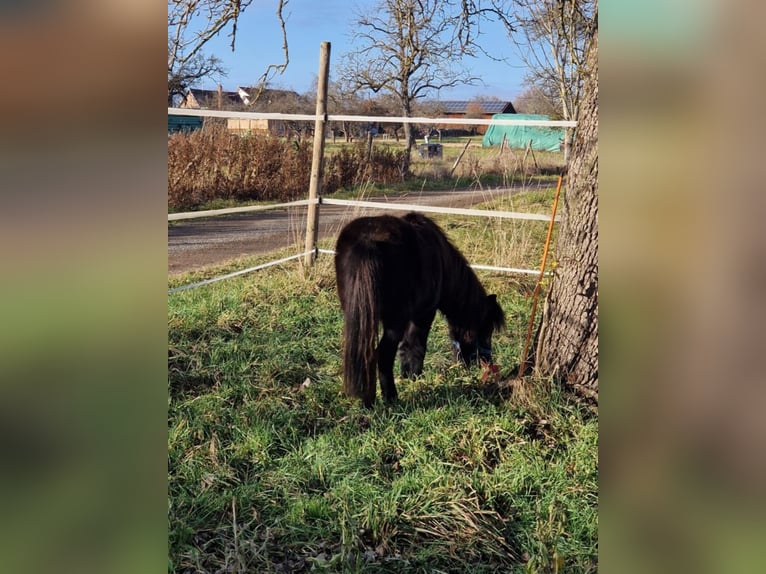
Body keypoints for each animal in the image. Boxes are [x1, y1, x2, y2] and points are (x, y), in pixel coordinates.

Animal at [334, 212, 505, 408]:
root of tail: (367, 241)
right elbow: (416, 345)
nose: (487, 364)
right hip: (394, 321)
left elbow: (405, 348)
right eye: (487, 330)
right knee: (383, 355)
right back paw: (389, 398)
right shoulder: (423, 314)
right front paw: (415, 376)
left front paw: (406, 376)